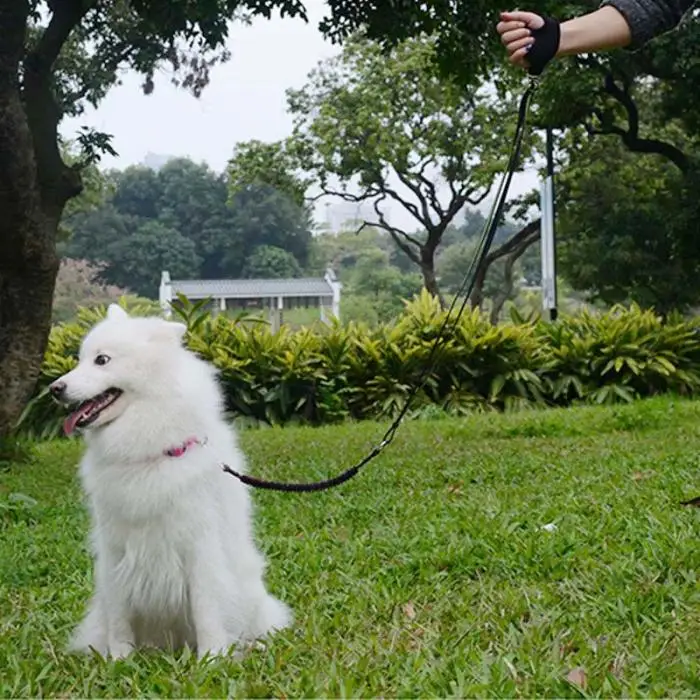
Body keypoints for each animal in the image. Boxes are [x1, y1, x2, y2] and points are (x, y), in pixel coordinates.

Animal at [49, 304, 290, 660]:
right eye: (79, 359)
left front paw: (212, 658)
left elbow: (206, 608)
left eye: (102, 360)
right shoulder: (115, 551)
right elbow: (119, 616)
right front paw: (119, 659)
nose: (55, 389)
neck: (148, 452)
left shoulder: (199, 545)